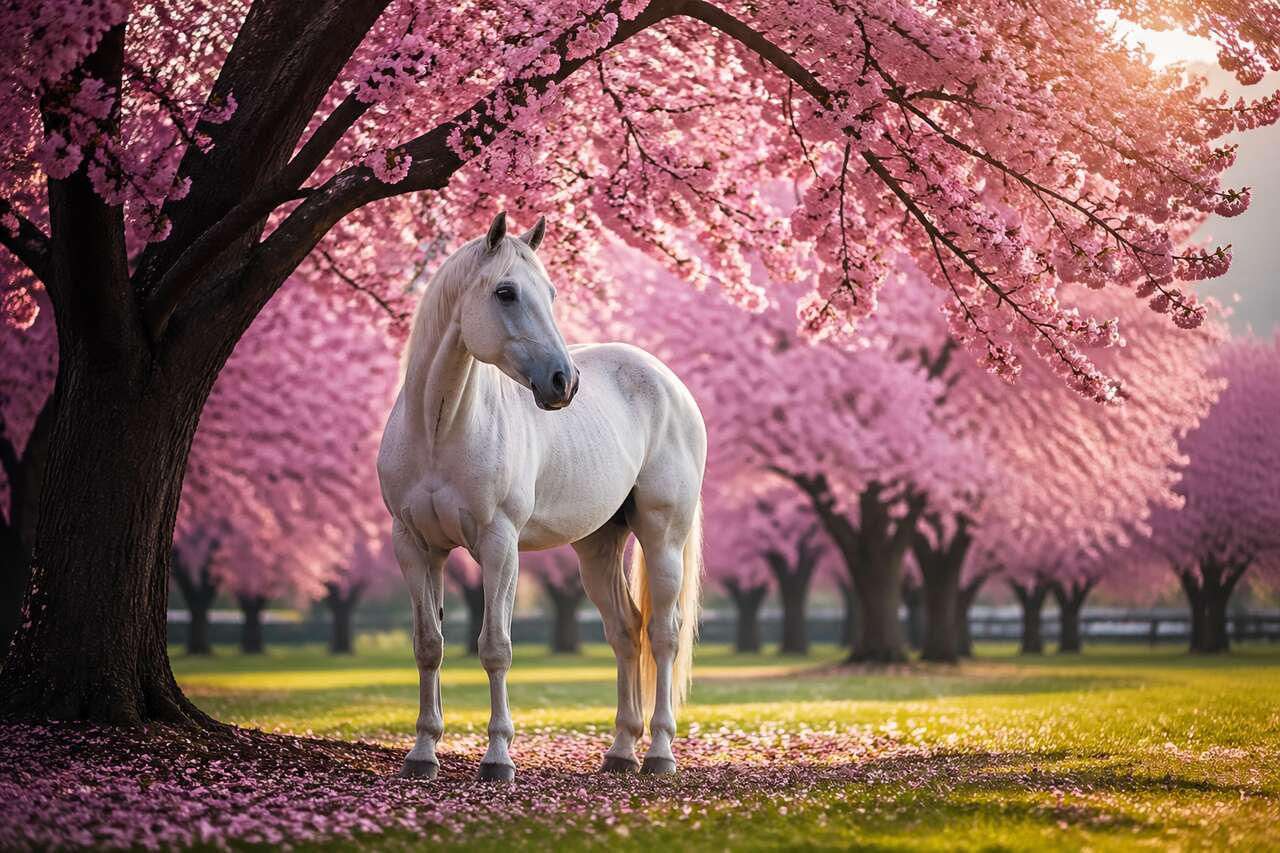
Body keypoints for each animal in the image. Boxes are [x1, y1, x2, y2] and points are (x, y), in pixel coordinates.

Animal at [377, 212, 707, 782]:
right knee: (625, 631)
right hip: (597, 547)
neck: (439, 431)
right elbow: (428, 646)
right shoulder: (415, 546)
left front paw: (498, 759)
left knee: (662, 634)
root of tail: (669, 383)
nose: (564, 382)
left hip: (663, 537)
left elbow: (495, 648)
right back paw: (621, 751)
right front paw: (422, 753)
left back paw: (660, 753)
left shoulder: (498, 545)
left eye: (550, 293)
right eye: (505, 292)